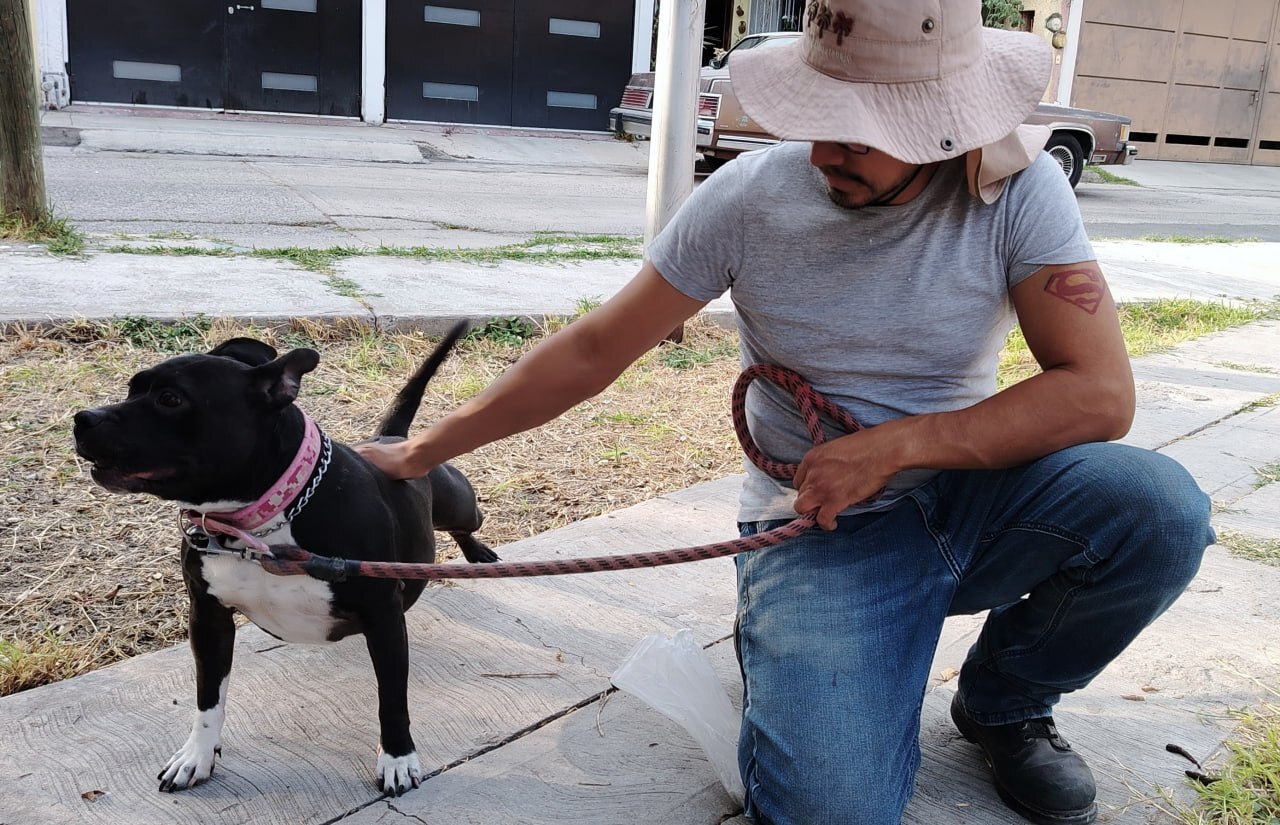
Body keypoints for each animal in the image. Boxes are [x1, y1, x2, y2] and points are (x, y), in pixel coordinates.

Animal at [72, 319, 496, 793]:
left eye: (170, 399)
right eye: (131, 388)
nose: (82, 419)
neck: (256, 526)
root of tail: (391, 439)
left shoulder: (383, 617)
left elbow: (391, 697)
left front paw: (398, 758)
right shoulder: (208, 616)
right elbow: (208, 698)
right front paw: (197, 755)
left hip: (457, 503)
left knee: (467, 520)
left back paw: (478, 553)